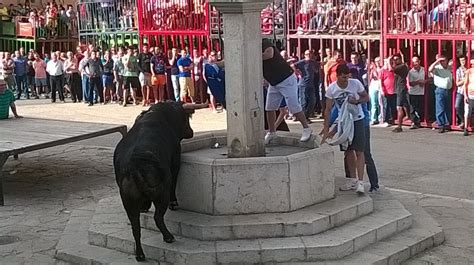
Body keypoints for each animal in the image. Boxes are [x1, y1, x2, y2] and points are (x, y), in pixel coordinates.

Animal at [113, 100, 207, 260]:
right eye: (186, 118)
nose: (191, 132)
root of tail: (135, 165)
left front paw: (145, 207)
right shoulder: (175, 163)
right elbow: (174, 184)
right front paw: (174, 203)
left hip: (128, 202)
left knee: (136, 228)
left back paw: (140, 255)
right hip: (161, 193)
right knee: (158, 217)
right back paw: (168, 237)